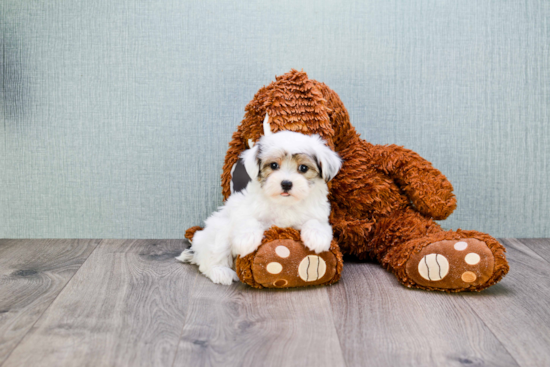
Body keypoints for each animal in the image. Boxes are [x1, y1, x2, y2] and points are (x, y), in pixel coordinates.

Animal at [178, 116, 340, 286]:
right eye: (274, 165)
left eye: (303, 168)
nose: (286, 183)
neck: (284, 204)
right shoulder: (244, 209)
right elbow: (249, 219)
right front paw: (246, 240)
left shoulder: (318, 213)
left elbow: (315, 222)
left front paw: (317, 237)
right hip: (219, 231)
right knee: (210, 259)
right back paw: (221, 272)